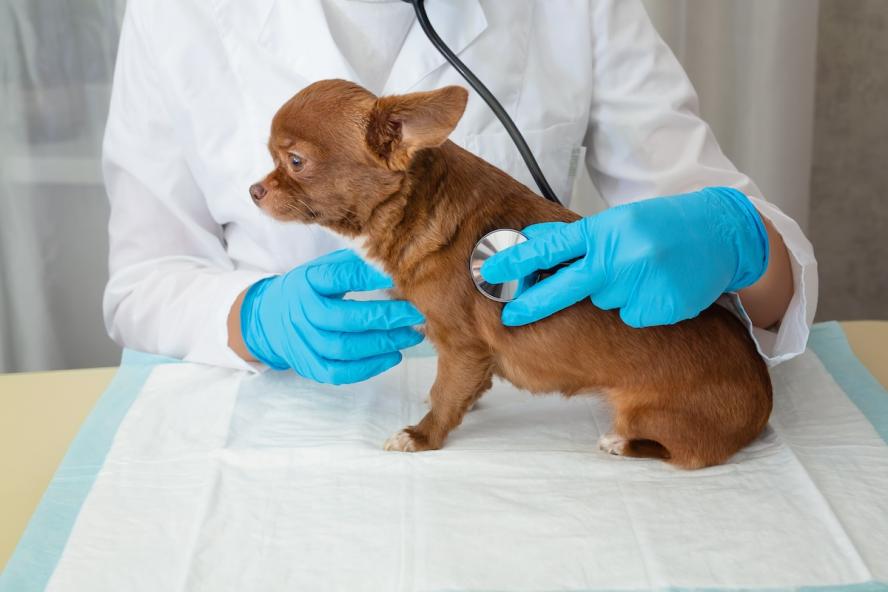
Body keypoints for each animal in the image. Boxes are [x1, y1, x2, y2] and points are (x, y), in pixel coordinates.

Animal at [250, 78, 772, 470]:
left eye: (294, 161)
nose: (254, 190)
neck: (412, 209)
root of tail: (763, 397)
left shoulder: (461, 345)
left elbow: (445, 392)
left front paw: (423, 435)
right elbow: (461, 388)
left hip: (653, 414)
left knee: (687, 454)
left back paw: (621, 444)